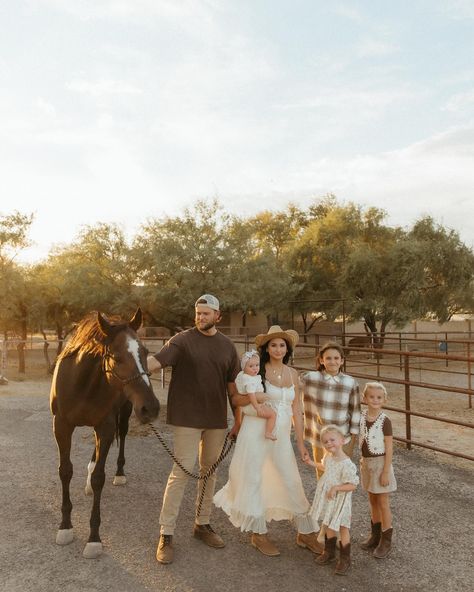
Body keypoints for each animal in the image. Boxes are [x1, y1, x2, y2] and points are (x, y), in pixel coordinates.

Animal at [50, 308, 159, 556]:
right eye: (116, 357)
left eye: (145, 352)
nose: (151, 407)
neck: (82, 384)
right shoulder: (61, 426)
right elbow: (65, 471)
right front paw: (65, 526)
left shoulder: (106, 427)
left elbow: (100, 477)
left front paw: (93, 539)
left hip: (125, 412)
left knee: (123, 436)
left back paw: (119, 473)